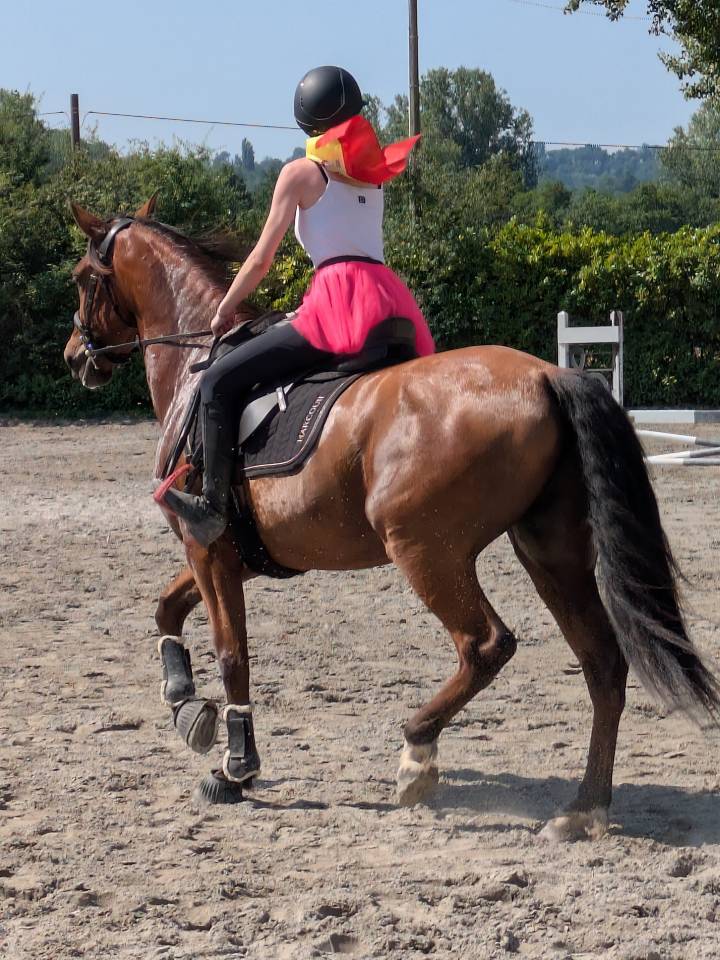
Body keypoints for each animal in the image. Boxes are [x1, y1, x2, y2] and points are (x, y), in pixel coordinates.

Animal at [64, 196, 720, 837]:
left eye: (82, 280)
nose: (75, 357)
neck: (197, 365)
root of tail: (546, 373)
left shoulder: (207, 547)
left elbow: (232, 654)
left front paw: (235, 767)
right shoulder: (238, 553)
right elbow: (166, 607)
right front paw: (183, 702)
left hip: (426, 551)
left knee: (486, 645)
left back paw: (417, 753)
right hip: (548, 551)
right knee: (602, 662)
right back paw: (583, 808)